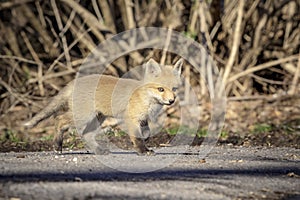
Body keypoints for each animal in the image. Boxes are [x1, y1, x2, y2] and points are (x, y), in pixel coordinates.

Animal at [24, 57, 183, 155]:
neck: (146, 97)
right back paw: (57, 145)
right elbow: (138, 137)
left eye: (174, 89)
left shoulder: (143, 119)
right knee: (59, 119)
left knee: (86, 134)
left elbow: (146, 133)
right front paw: (143, 151)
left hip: (98, 118)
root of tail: (72, 83)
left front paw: (144, 143)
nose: (171, 101)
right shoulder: (131, 118)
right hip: (83, 116)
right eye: (161, 89)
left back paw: (98, 150)